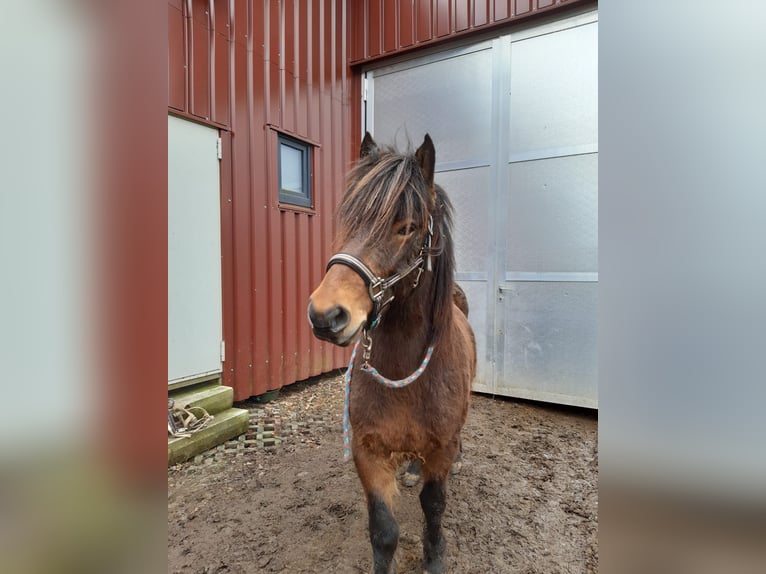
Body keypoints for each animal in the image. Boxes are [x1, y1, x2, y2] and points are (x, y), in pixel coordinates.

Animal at [308, 133, 476, 572]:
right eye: (349, 219)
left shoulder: (441, 448)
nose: (325, 314)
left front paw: (434, 556)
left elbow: (433, 505)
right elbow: (383, 531)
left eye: (409, 228)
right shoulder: (368, 452)